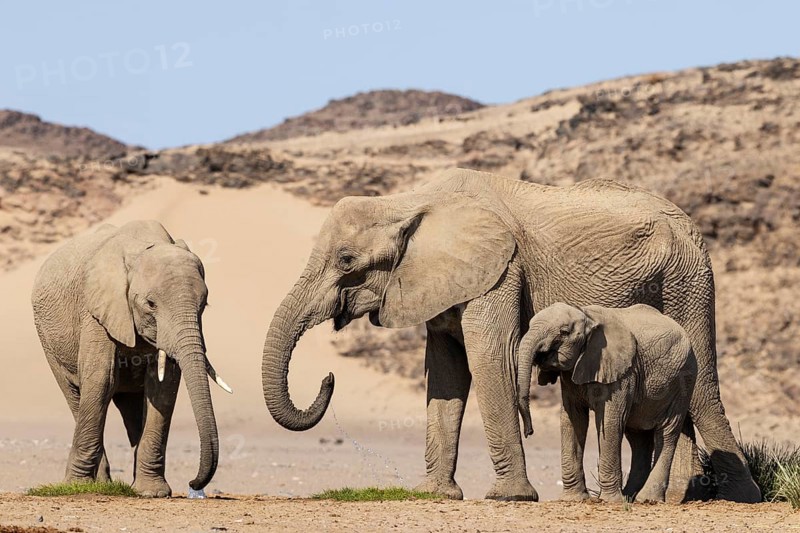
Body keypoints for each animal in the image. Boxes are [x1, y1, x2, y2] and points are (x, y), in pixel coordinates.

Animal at [31, 220, 231, 497]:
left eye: (204, 305)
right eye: (151, 304)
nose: (193, 484)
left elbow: (163, 388)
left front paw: (152, 493)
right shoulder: (97, 310)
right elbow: (101, 380)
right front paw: (75, 486)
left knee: (132, 408)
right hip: (48, 342)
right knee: (76, 396)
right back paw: (100, 485)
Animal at [516, 302, 697, 502]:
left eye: (564, 332)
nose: (529, 432)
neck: (587, 316)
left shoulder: (622, 373)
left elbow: (610, 421)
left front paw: (611, 501)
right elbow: (573, 420)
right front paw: (573, 499)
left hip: (683, 382)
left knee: (666, 433)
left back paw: (646, 499)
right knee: (638, 438)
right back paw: (630, 496)